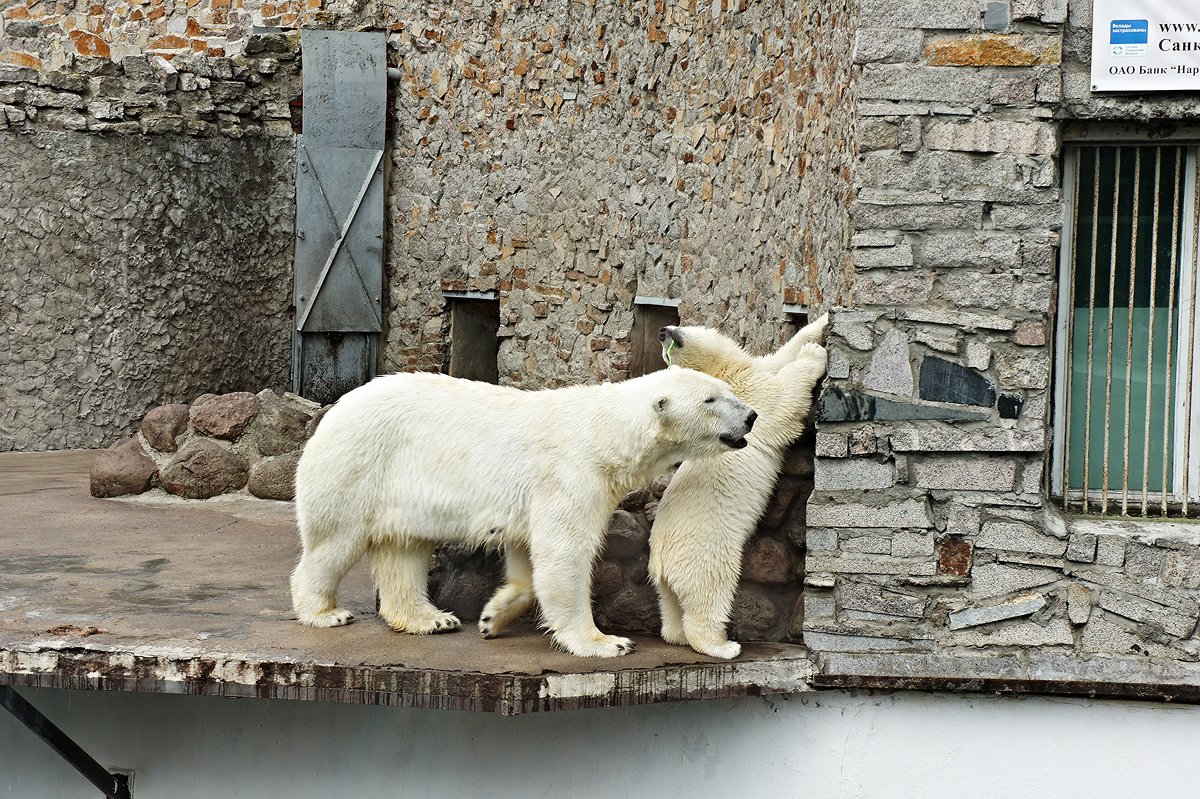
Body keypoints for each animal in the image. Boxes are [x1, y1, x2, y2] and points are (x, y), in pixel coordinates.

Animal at [290, 364, 753, 657]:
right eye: (711, 399)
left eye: (728, 391)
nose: (750, 415)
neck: (604, 434)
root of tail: (333, 411)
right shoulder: (571, 474)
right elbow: (565, 554)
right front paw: (606, 642)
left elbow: (529, 555)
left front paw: (492, 617)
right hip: (360, 465)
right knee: (335, 541)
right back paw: (325, 613)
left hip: (402, 490)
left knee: (404, 547)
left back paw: (432, 619)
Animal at [652, 314, 830, 657]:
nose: (662, 330)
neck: (726, 375)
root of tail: (661, 557)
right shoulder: (750, 401)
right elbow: (783, 399)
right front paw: (815, 355)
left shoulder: (757, 369)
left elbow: (784, 352)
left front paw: (822, 324)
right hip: (705, 550)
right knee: (709, 592)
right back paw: (721, 645)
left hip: (669, 575)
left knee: (671, 603)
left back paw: (676, 635)